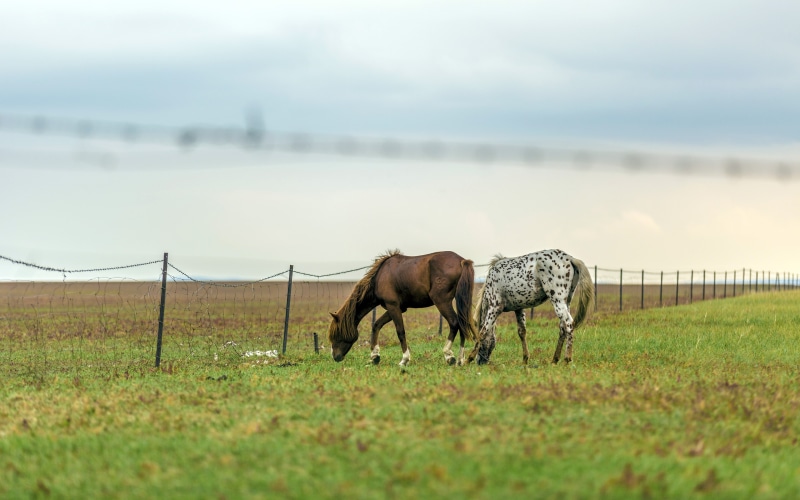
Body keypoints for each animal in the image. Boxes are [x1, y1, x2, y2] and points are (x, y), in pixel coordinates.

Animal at [328, 250, 477, 366]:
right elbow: (376, 325)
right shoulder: (396, 308)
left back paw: (448, 355)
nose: (335, 357)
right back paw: (460, 359)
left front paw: (404, 360)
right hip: (459, 301)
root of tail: (462, 261)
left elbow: (400, 331)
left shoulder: (393, 306)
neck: (379, 276)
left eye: (336, 334)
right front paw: (375, 356)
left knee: (454, 323)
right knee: (462, 324)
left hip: (441, 301)